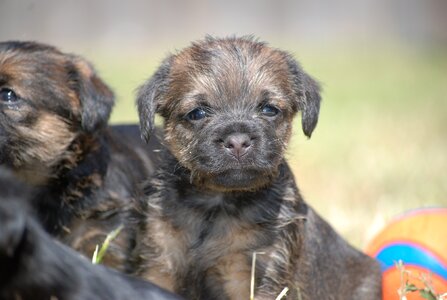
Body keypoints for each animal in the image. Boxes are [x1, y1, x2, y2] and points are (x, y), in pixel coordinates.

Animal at [132, 37, 382, 300]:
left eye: (269, 109)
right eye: (197, 113)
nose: (237, 141)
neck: (215, 204)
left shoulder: (256, 273)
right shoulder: (159, 262)